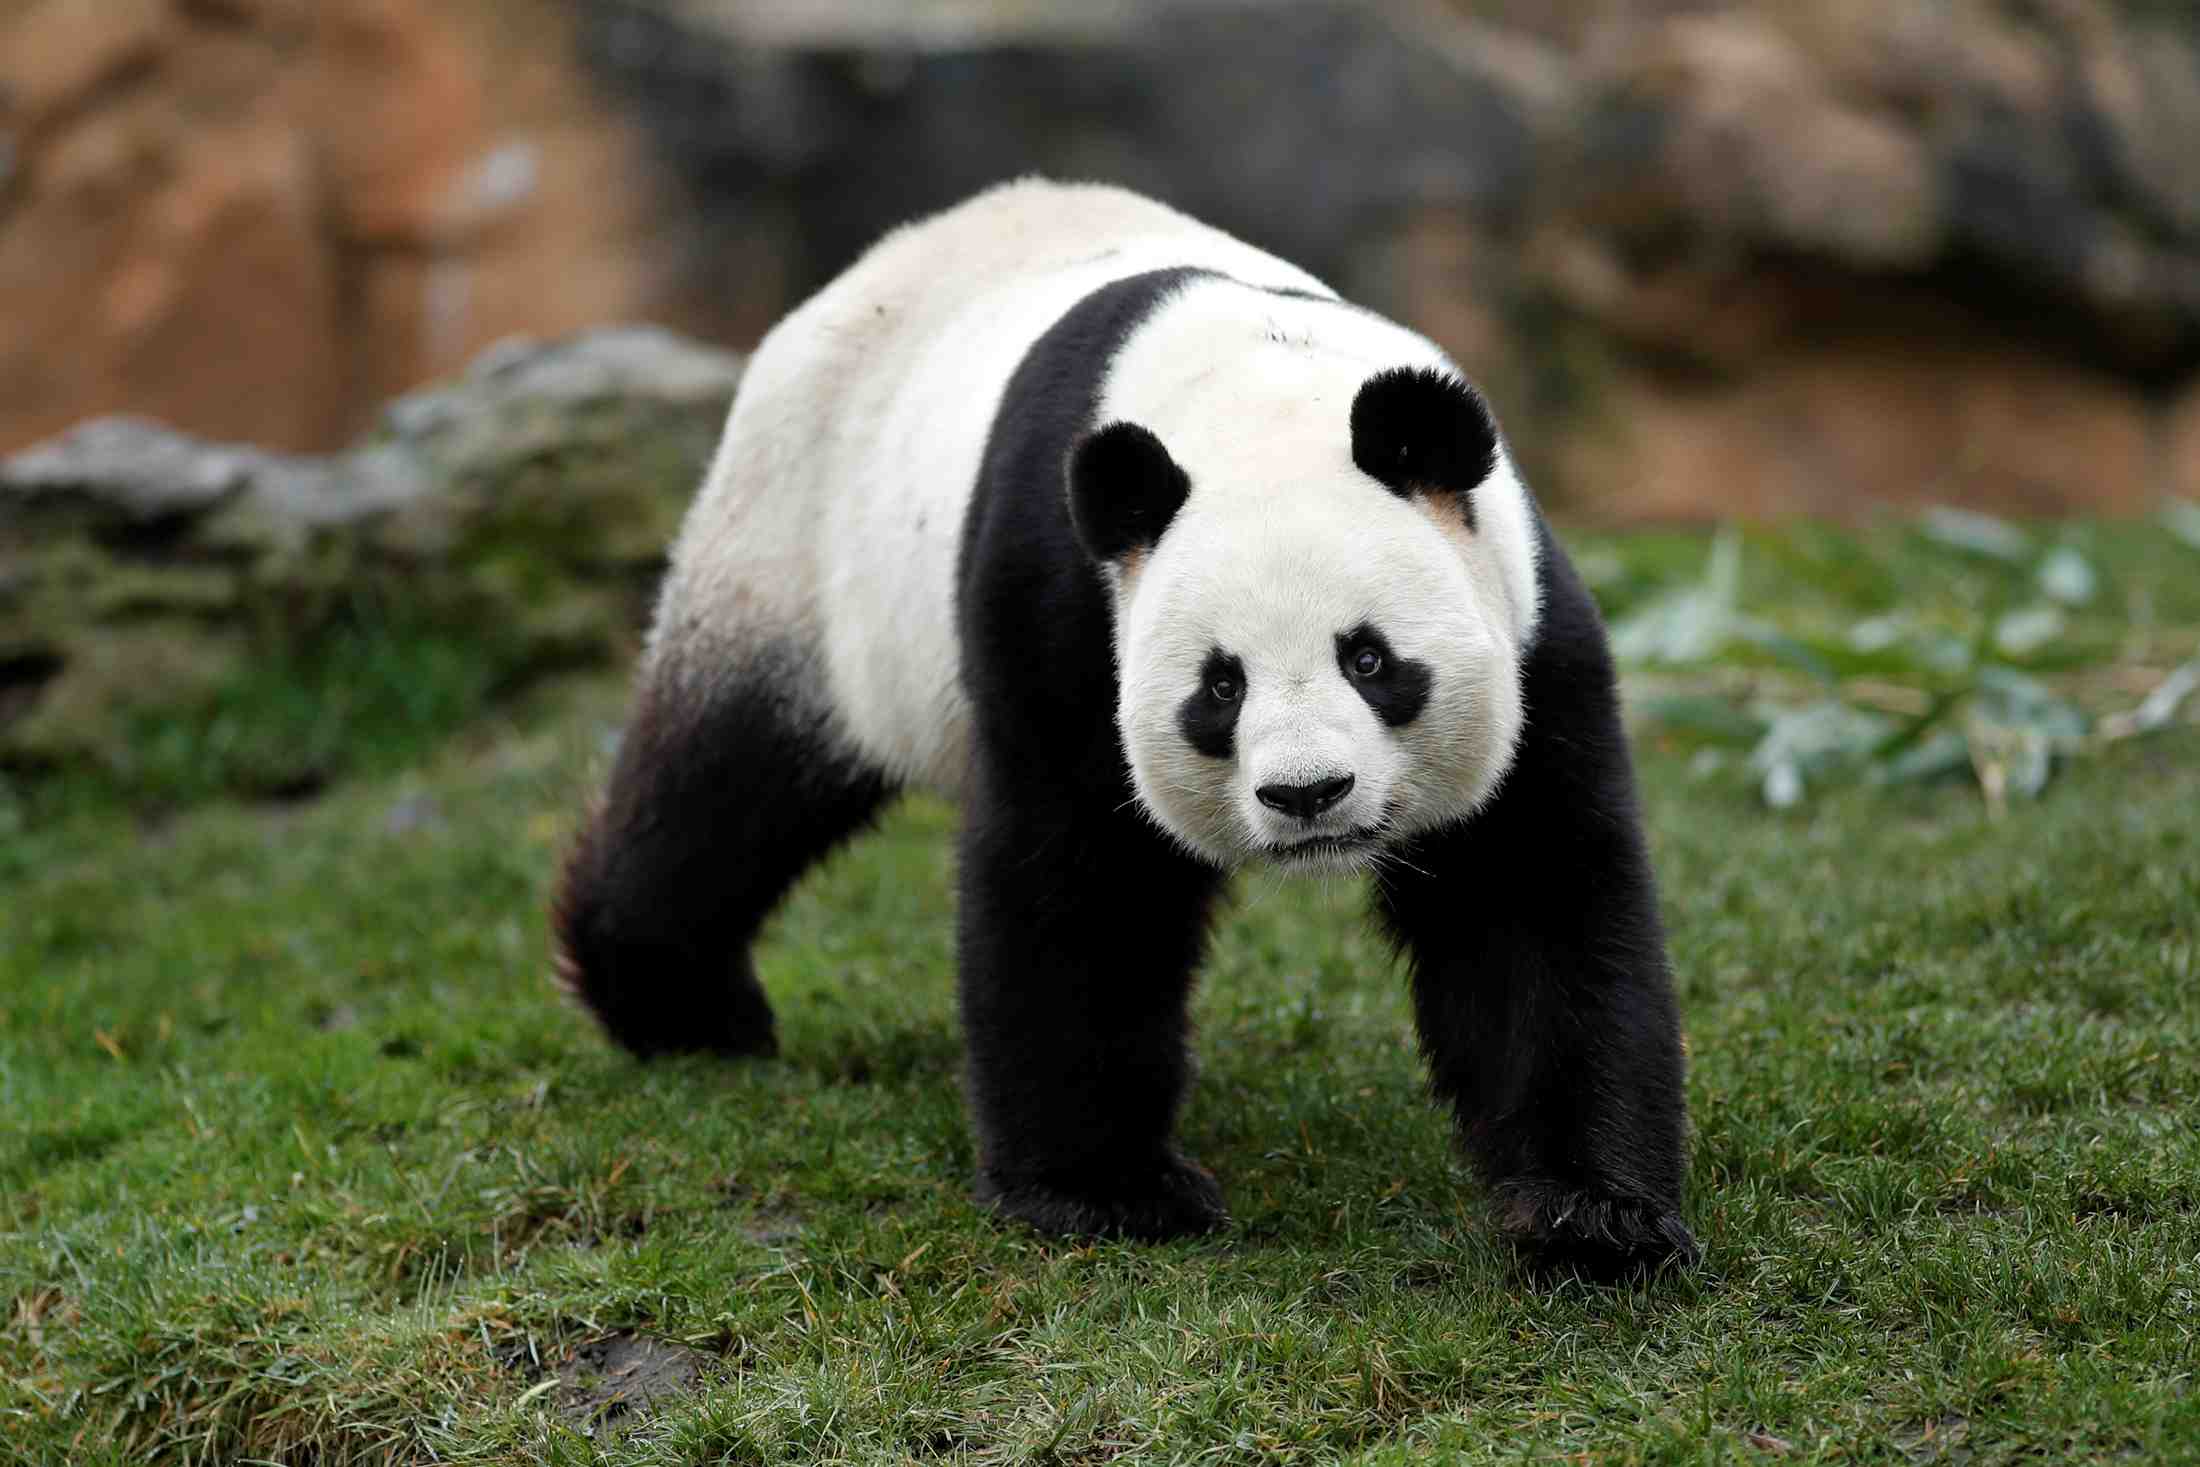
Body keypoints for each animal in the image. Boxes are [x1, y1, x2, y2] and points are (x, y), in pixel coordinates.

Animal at [553, 179, 1697, 1278]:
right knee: (723, 786)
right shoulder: (1061, 603)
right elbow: (1075, 879)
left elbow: (1532, 896)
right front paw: (1110, 1193)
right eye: (1220, 688)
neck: (1264, 401)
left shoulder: (1528, 626)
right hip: (799, 557)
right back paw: (679, 1006)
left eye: (1369, 660)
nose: (1307, 795)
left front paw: (1591, 1218)